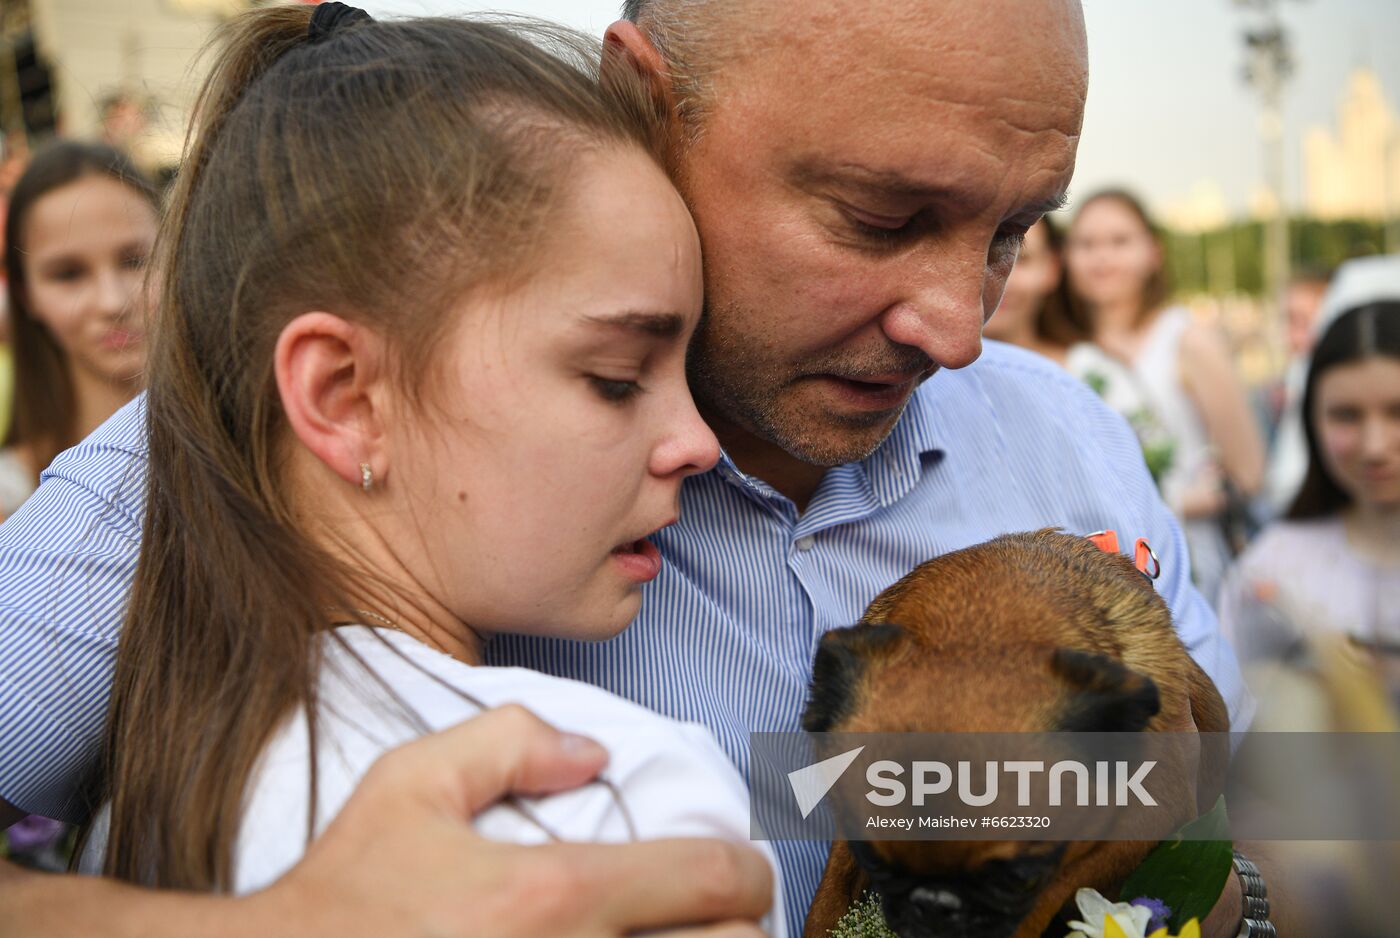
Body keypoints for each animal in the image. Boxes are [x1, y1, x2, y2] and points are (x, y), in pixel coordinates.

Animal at [800, 529, 1226, 938]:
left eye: (1020, 879)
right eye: (874, 863)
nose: (934, 904)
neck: (976, 637)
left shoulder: (1140, 823)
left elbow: (1049, 894)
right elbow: (829, 895)